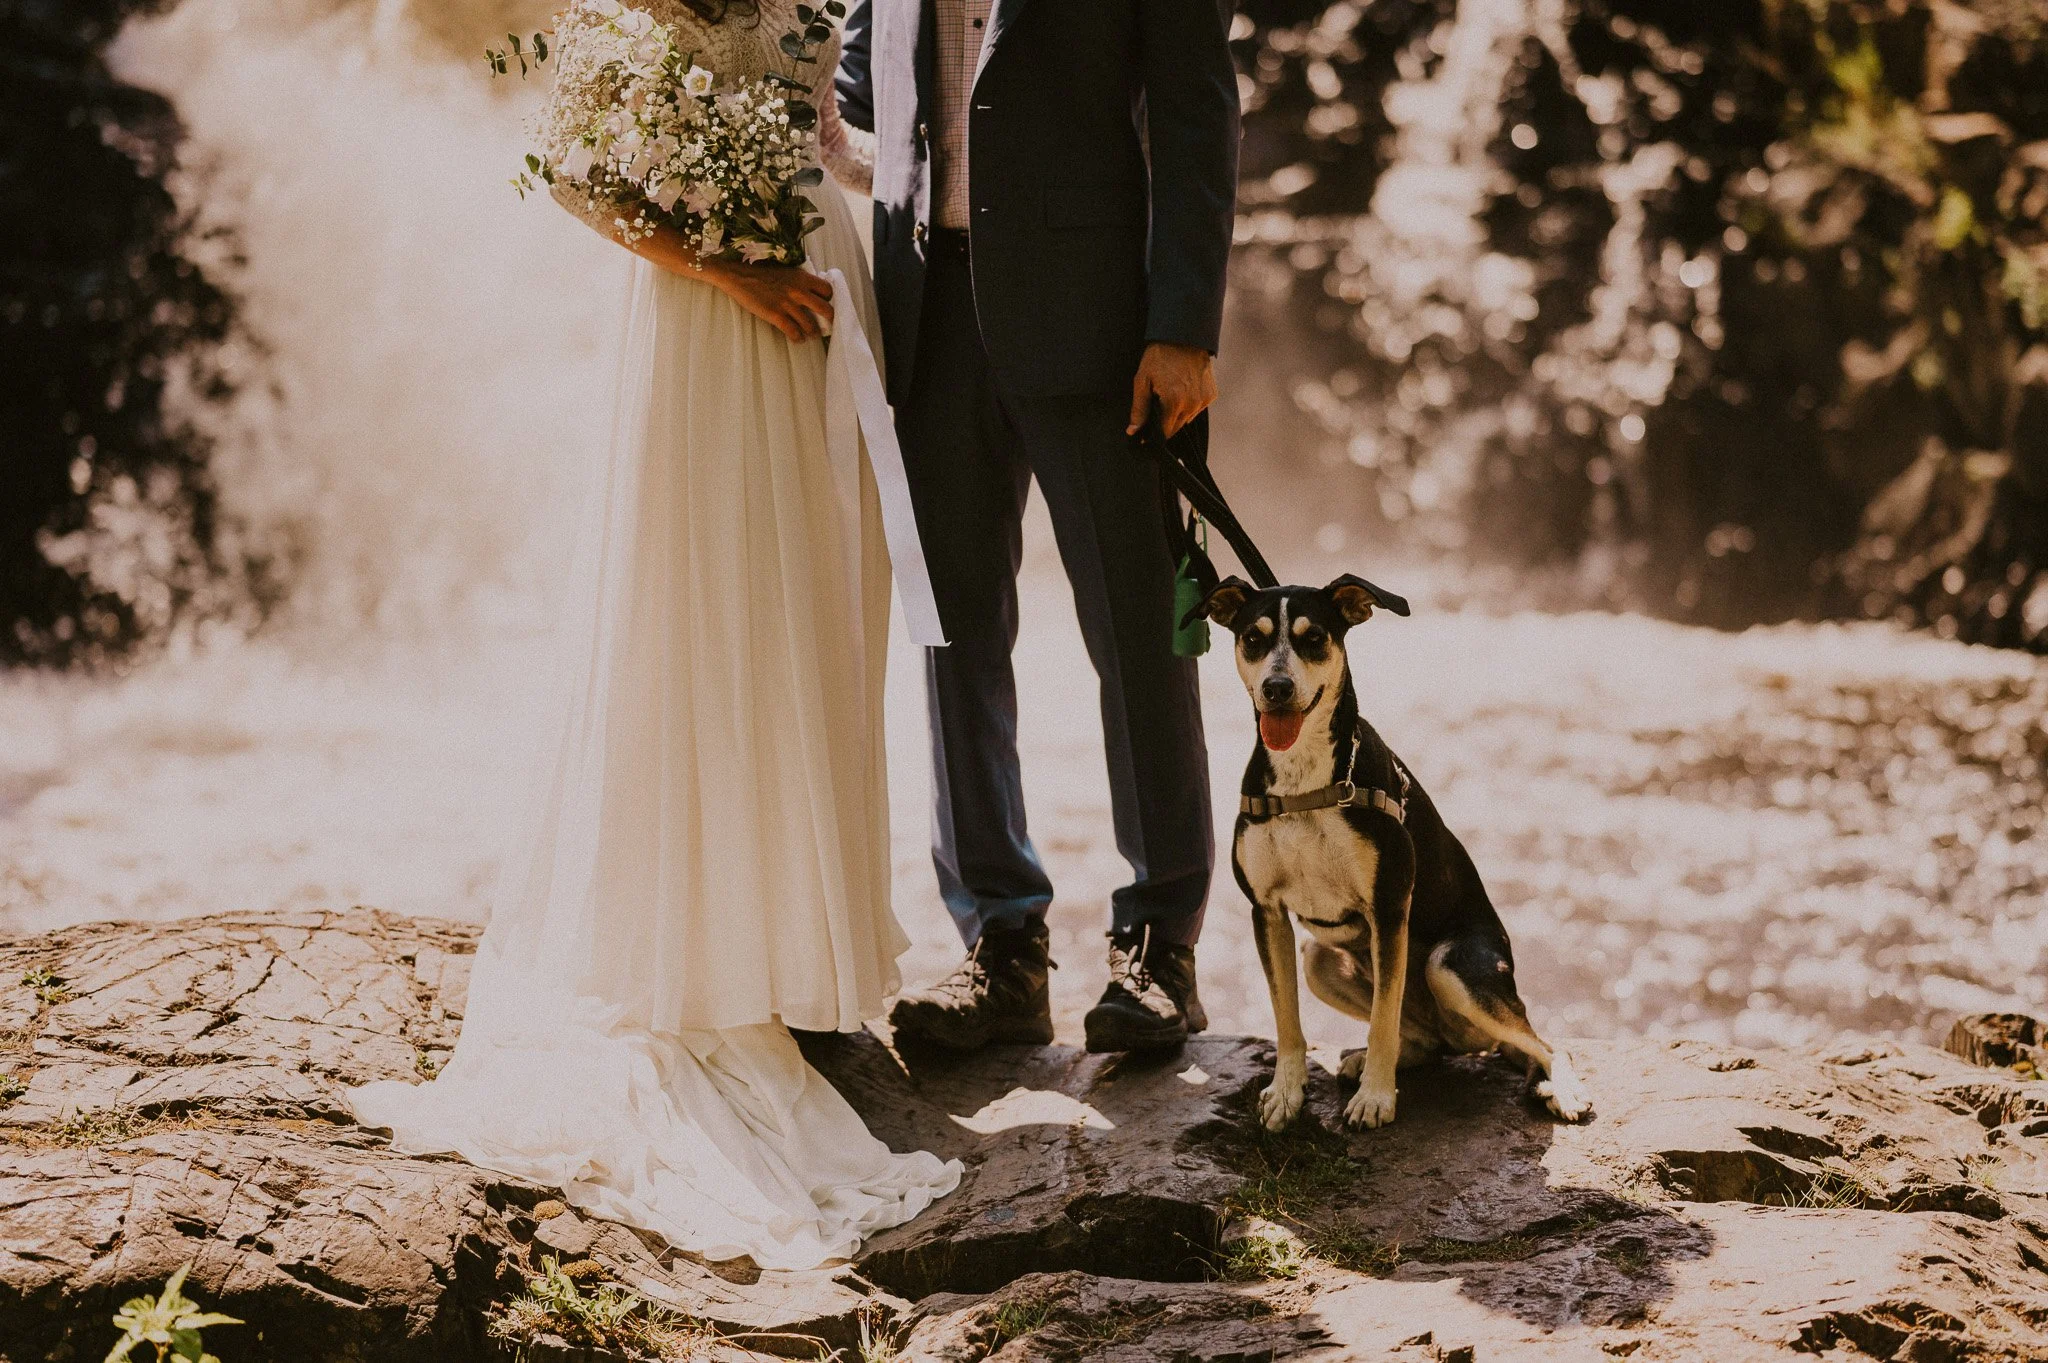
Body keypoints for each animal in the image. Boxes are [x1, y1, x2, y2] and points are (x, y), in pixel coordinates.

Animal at [1196, 568, 1597, 1121]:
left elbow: (1383, 1018)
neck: (1306, 781)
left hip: (1451, 967)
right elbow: (1285, 1017)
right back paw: (1365, 1060)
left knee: (1547, 1044)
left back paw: (1563, 1088)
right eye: (1252, 639)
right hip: (1319, 959)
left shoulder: (1388, 908)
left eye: (1314, 638)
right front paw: (1287, 1090)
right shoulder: (1267, 911)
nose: (1277, 688)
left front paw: (1376, 1099)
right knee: (1428, 1043)